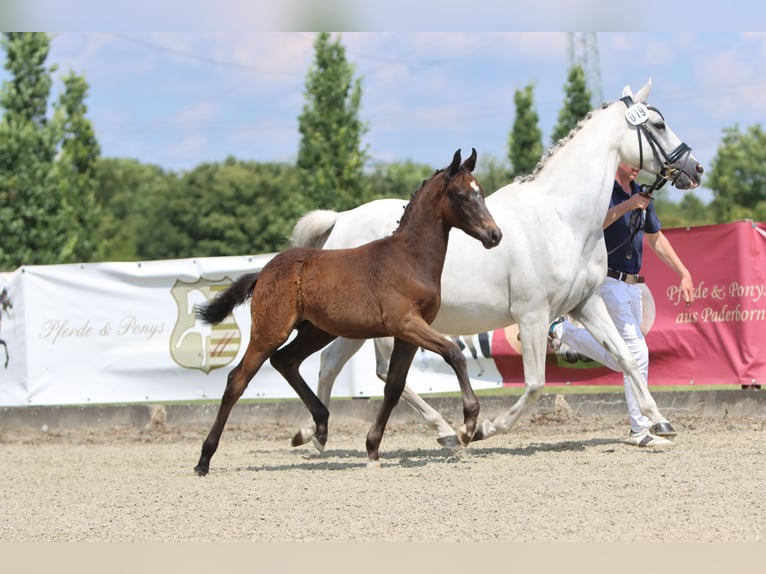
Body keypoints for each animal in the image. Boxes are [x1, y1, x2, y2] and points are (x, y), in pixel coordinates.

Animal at [292, 80, 704, 450]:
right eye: (658, 125)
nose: (695, 169)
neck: (560, 217)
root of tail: (341, 220)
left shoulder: (586, 304)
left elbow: (627, 358)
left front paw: (658, 421)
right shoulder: (533, 316)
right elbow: (536, 384)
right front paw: (484, 428)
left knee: (335, 364)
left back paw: (319, 433)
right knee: (353, 367)